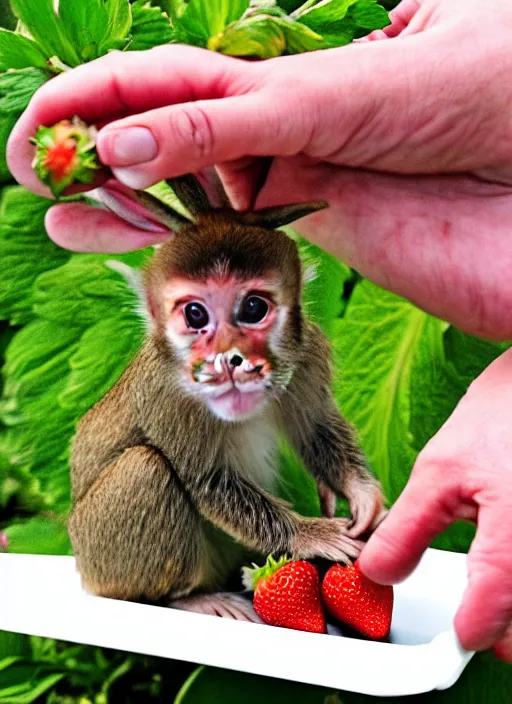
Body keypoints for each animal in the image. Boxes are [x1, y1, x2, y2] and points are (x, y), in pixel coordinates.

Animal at [68, 170, 384, 620]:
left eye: (252, 308)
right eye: (195, 314)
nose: (229, 360)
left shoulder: (309, 355)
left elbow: (316, 427)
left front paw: (361, 493)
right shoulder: (168, 393)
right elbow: (205, 480)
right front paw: (309, 533)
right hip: (99, 554)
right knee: (146, 467)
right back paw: (190, 597)